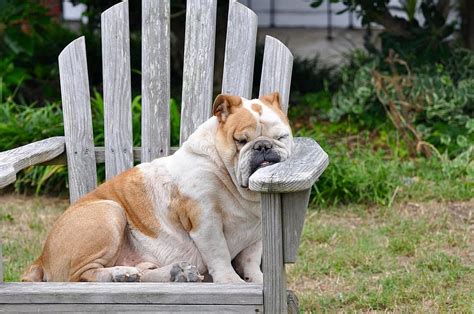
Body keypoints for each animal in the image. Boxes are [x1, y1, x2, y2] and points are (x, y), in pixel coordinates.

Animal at [24, 92, 294, 284]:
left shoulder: (256, 232)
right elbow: (219, 254)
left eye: (281, 137)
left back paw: (171, 273)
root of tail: (41, 257)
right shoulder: (205, 220)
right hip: (110, 211)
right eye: (241, 141)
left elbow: (250, 259)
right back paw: (120, 274)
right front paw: (231, 282)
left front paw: (256, 279)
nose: (262, 146)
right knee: (80, 275)